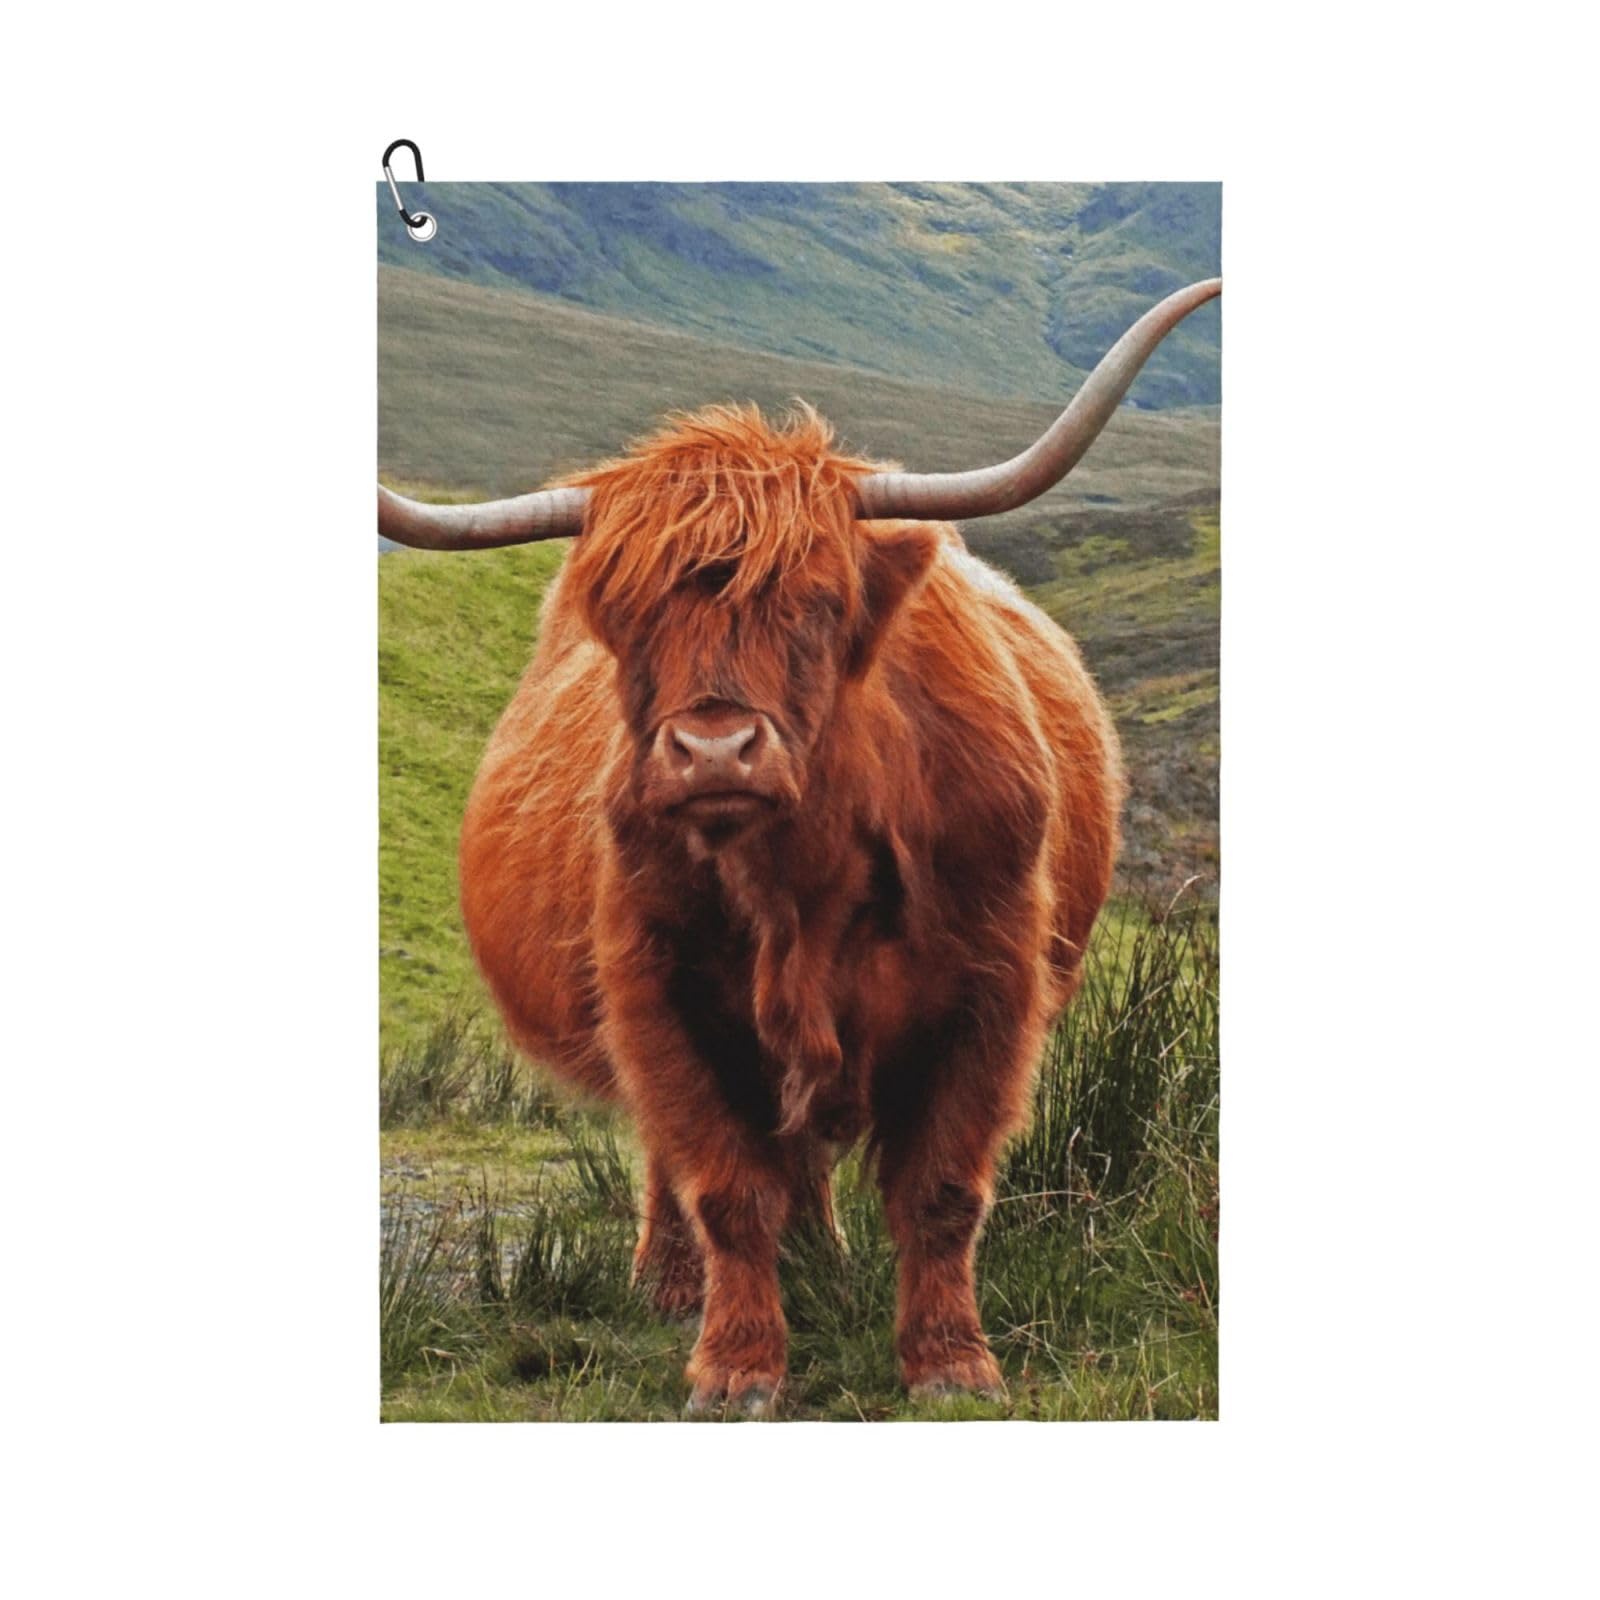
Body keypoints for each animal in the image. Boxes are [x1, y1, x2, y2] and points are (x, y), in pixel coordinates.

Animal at [379, 279, 1221, 1413]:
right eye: (627, 620)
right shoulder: (659, 994)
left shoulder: (993, 990)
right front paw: (735, 1368)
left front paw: (952, 1363)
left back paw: (823, 1262)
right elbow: (726, 1188)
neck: (799, 886)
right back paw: (670, 1284)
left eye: (816, 603)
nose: (712, 749)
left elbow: (943, 1188)